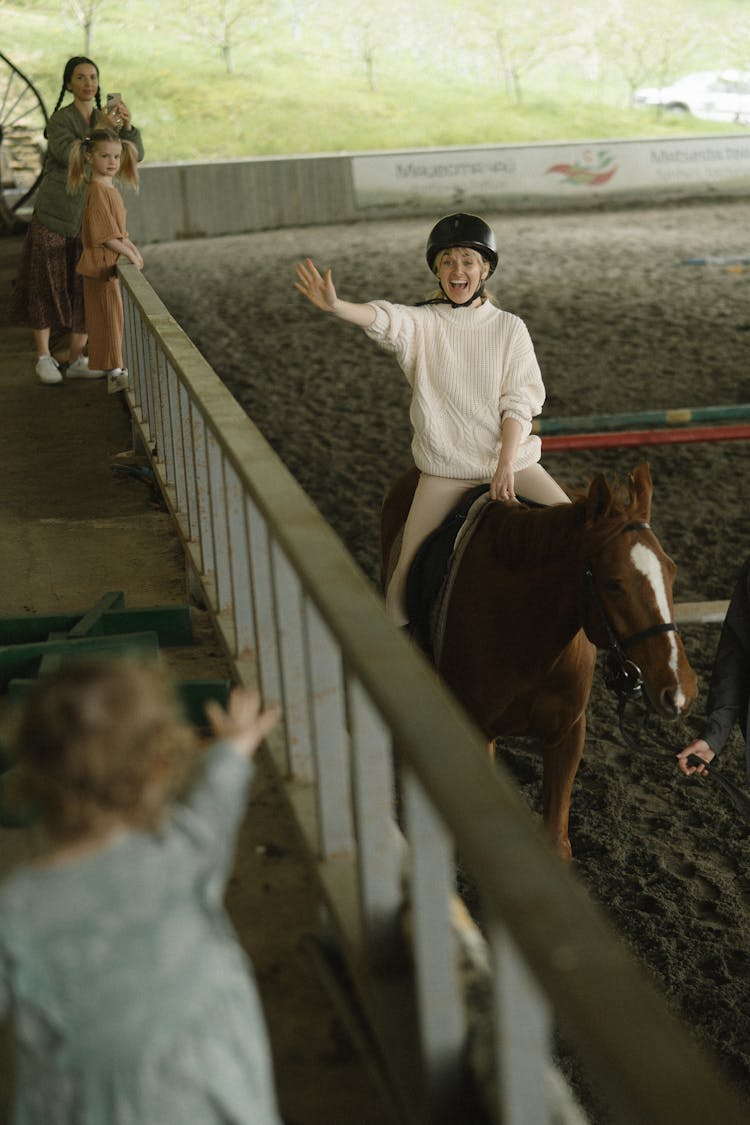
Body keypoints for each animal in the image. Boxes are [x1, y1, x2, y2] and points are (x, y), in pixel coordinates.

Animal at [384, 461, 701, 855]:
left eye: (671, 572)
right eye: (614, 583)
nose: (679, 688)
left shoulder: (568, 733)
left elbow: (556, 840)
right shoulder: (479, 732)